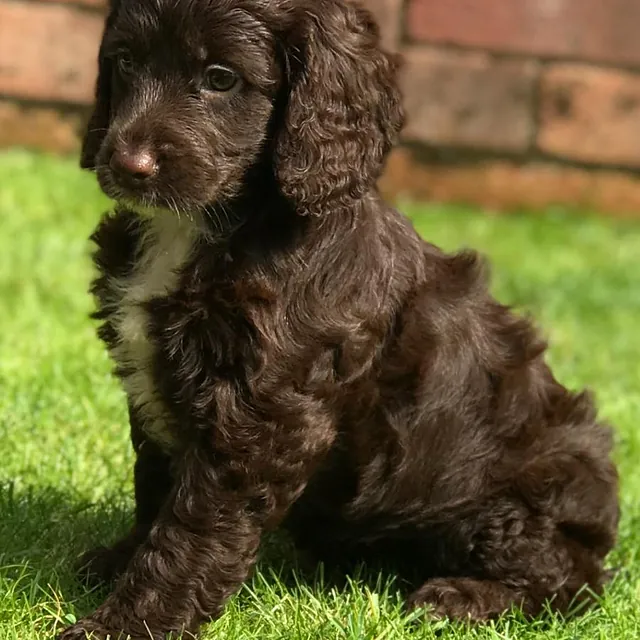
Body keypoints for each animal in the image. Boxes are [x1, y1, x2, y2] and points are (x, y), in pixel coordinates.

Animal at [57, 1, 616, 640]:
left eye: (221, 78)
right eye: (125, 62)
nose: (130, 165)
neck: (206, 226)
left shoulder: (262, 415)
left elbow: (193, 526)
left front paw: (130, 622)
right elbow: (156, 485)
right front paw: (120, 561)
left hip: (530, 491)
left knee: (568, 577)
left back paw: (462, 598)